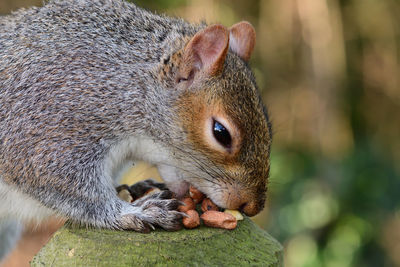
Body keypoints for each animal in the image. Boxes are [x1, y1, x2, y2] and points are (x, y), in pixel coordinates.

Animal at [0, 0, 272, 239]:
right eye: (221, 132)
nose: (252, 206)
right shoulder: (48, 128)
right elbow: (68, 188)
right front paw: (135, 212)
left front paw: (139, 188)